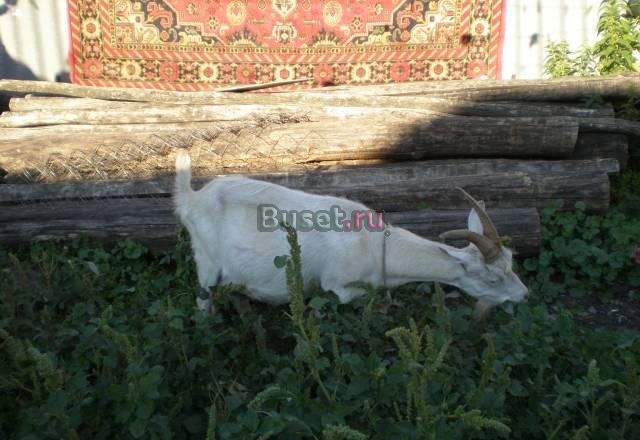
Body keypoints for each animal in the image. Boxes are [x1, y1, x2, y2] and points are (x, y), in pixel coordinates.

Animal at [174, 152, 529, 312]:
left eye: (512, 259)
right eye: (492, 279)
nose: (525, 294)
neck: (376, 246)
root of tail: (192, 197)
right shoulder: (340, 288)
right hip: (206, 261)